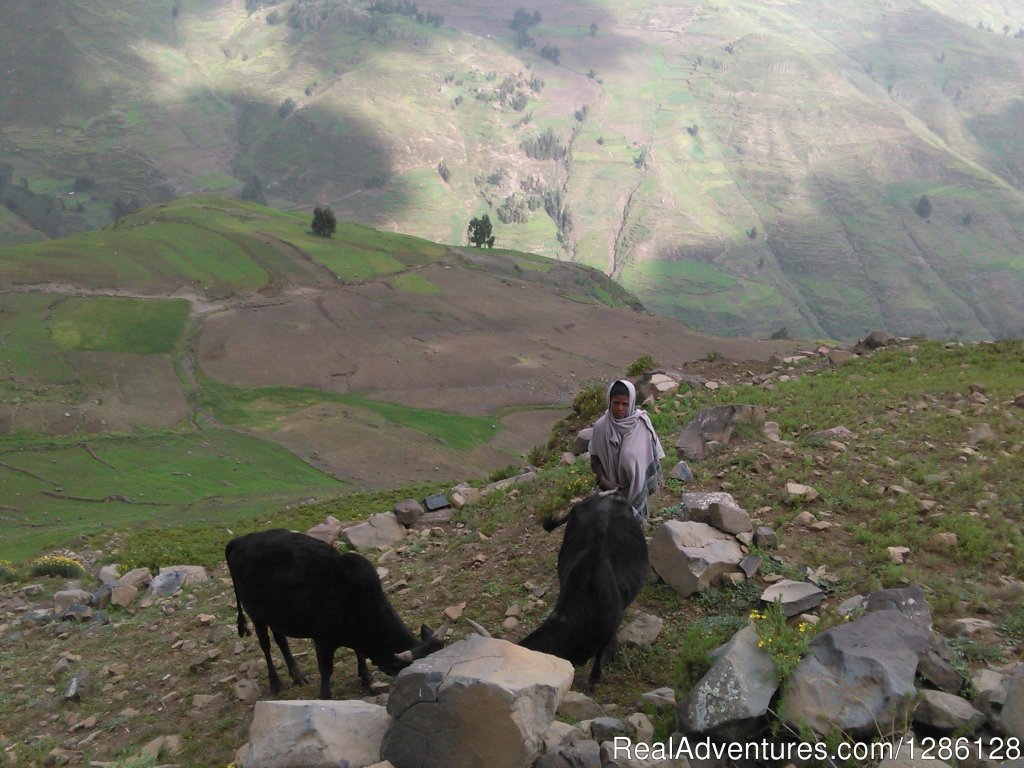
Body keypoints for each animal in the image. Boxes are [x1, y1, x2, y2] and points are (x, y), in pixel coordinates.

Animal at [226, 532, 446, 700]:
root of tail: (240, 540)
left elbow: (359, 655)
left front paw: (366, 679)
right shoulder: (323, 639)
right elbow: (326, 670)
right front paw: (325, 696)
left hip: (275, 616)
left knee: (281, 641)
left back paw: (297, 676)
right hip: (255, 614)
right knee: (266, 646)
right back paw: (276, 682)